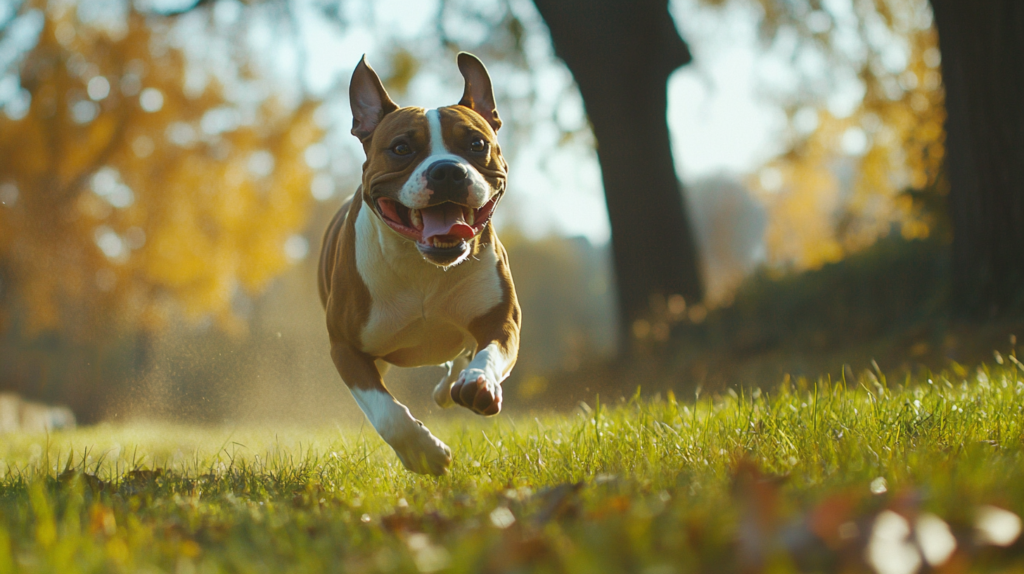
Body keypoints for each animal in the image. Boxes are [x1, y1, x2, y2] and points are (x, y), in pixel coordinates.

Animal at [317, 52, 520, 474]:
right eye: (400, 148)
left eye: (477, 143)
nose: (447, 171)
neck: (423, 266)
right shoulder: (346, 347)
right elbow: (388, 413)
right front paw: (424, 453)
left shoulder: (502, 319)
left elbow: (490, 351)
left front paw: (479, 382)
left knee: (462, 356)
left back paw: (454, 386)